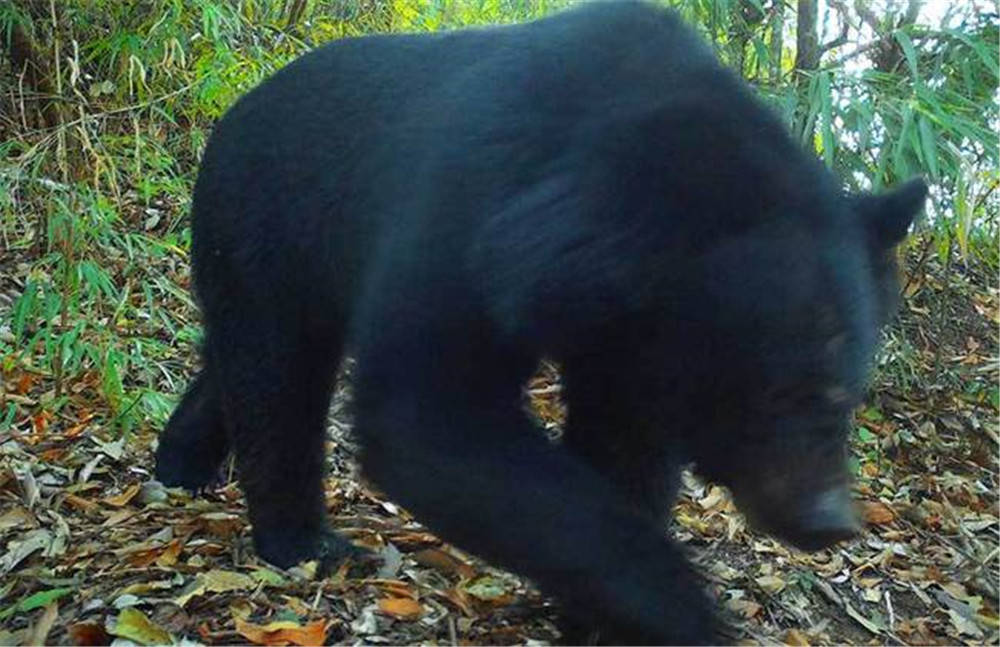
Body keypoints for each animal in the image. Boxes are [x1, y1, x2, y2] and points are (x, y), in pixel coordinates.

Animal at [152, 3, 924, 644]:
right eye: (778, 390)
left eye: (848, 389)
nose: (829, 521)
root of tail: (231, 108)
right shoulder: (472, 205)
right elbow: (431, 413)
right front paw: (685, 613)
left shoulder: (631, 339)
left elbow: (623, 446)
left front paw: (594, 617)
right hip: (269, 220)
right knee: (277, 372)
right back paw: (303, 540)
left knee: (236, 362)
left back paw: (183, 461)